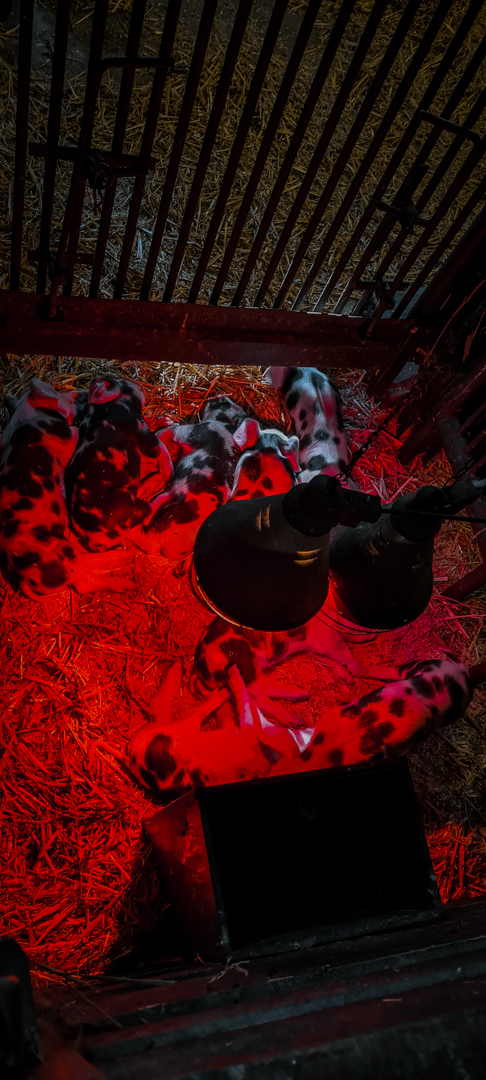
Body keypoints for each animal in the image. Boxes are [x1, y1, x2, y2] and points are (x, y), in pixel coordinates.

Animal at [0, 379, 135, 598]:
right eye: (59, 392)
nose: (82, 394)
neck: (24, 418)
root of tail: (21, 578)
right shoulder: (65, 438)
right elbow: (74, 432)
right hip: (63, 553)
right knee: (85, 583)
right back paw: (127, 584)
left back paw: (124, 554)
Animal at [65, 376, 172, 551]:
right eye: (125, 383)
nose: (140, 386)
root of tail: (93, 540)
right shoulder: (139, 428)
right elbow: (157, 448)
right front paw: (170, 471)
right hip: (124, 502)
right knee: (148, 512)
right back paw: (167, 492)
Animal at [138, 397, 250, 562]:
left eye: (224, 404)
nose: (218, 397)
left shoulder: (191, 431)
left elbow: (170, 430)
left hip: (168, 514)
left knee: (148, 538)